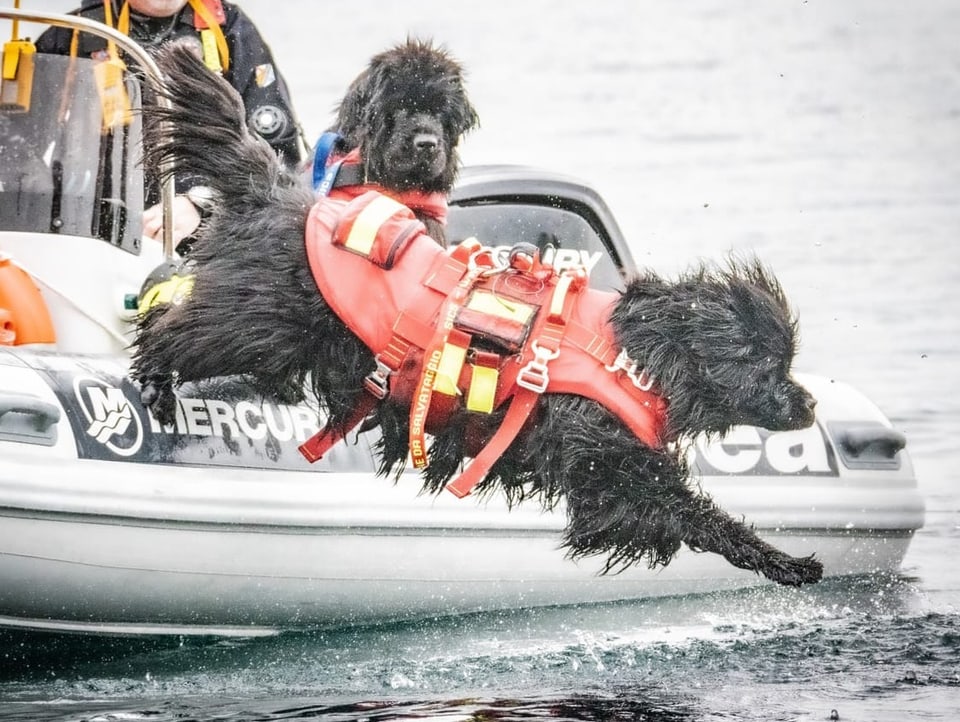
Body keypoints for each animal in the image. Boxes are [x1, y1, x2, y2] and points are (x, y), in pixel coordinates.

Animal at [133, 43, 824, 584]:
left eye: (787, 360)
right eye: (766, 364)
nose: (811, 403)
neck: (635, 352)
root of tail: (276, 191)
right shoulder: (606, 462)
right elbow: (683, 512)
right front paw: (786, 562)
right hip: (264, 320)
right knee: (179, 331)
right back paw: (155, 379)